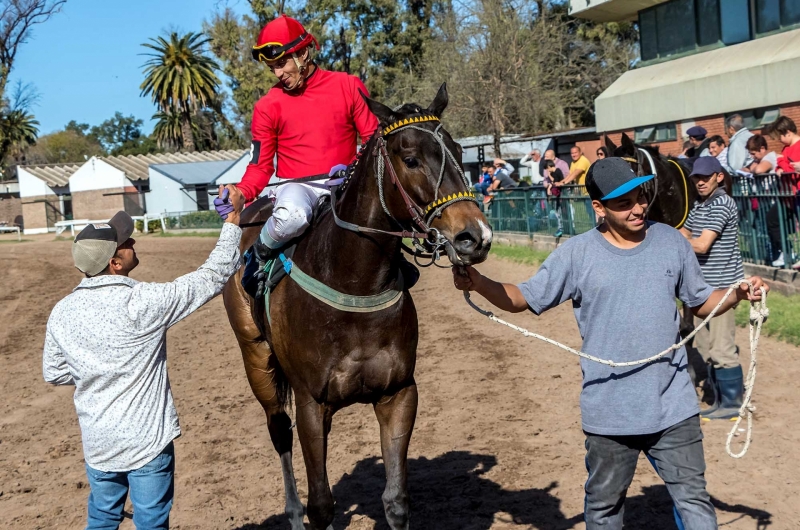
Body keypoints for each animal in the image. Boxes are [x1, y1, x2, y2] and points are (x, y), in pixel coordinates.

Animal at [222, 85, 490, 528]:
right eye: (411, 159)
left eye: (458, 152)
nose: (475, 236)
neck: (353, 285)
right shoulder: (311, 404)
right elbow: (321, 504)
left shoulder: (399, 393)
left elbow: (396, 499)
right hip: (256, 356)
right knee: (279, 429)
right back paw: (291, 512)